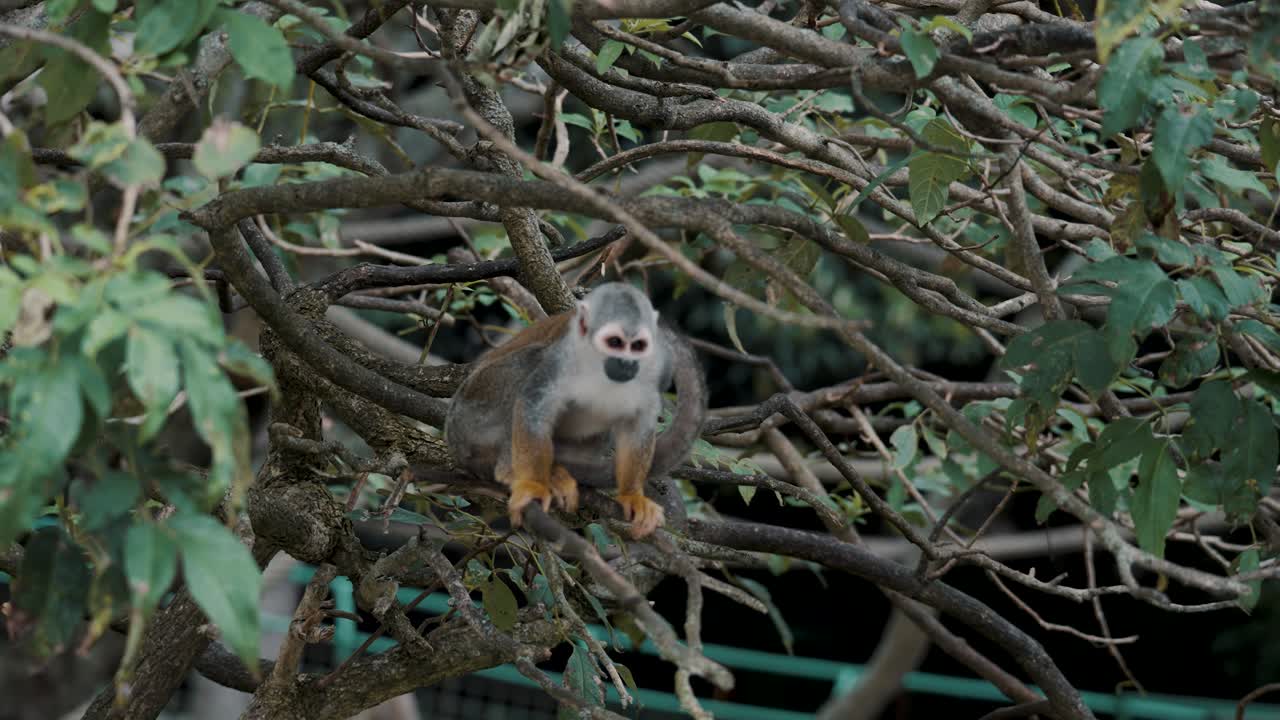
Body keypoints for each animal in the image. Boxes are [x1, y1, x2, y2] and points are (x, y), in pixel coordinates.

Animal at [445, 282, 706, 538]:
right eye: (615, 342)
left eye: (638, 346)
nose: (627, 363)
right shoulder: (564, 355)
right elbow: (533, 403)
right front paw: (532, 485)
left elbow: (637, 425)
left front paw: (632, 495)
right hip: (475, 406)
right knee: (533, 361)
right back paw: (509, 470)